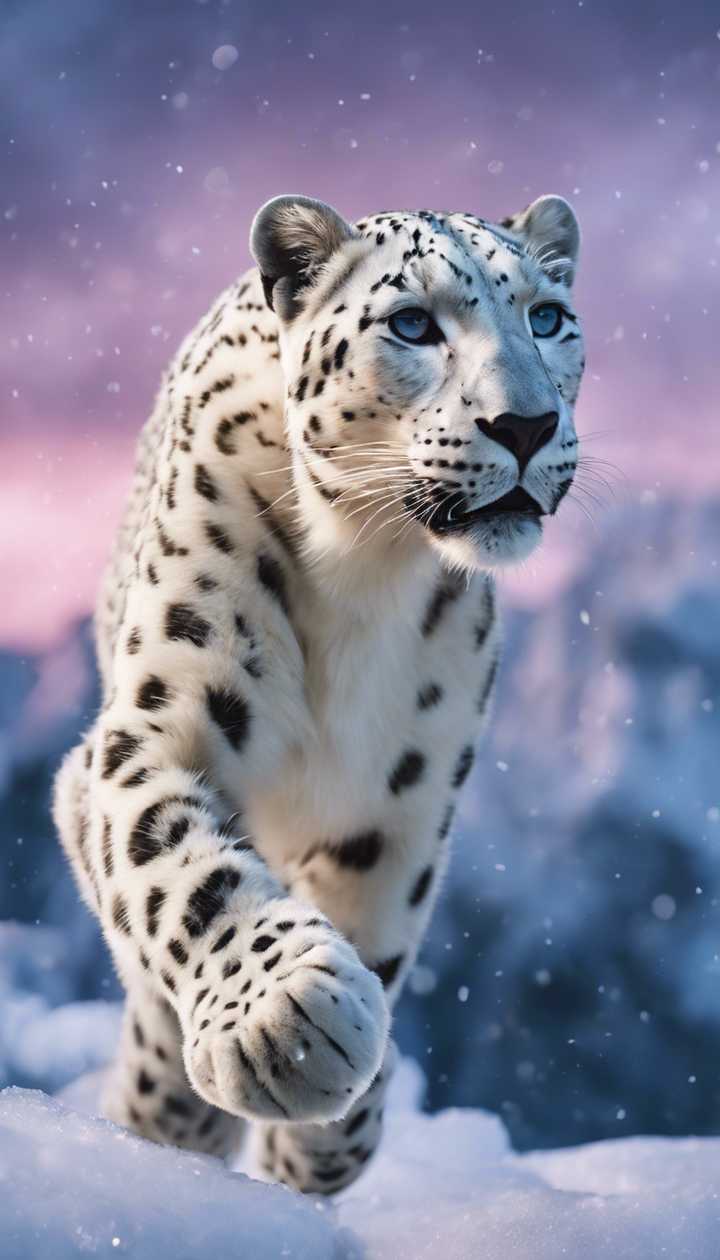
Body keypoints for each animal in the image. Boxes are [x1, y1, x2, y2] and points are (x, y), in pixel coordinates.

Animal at [53, 191, 585, 1195]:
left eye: (547, 317)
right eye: (412, 324)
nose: (527, 424)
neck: (365, 571)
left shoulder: (401, 795)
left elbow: (381, 923)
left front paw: (329, 1134)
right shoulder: (154, 724)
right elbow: (176, 863)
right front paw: (286, 1023)